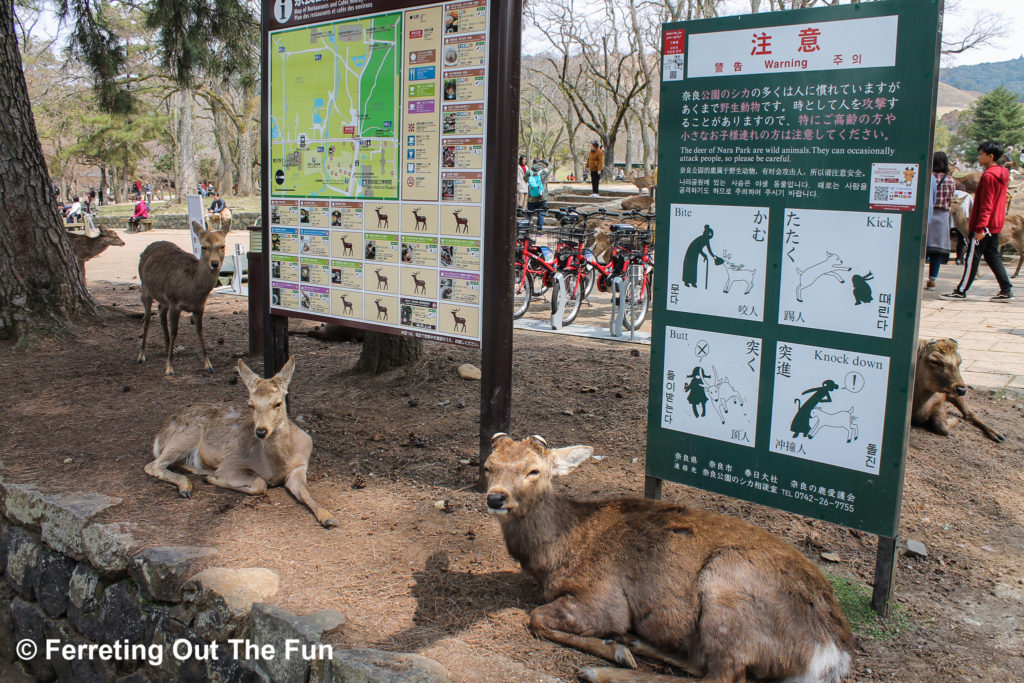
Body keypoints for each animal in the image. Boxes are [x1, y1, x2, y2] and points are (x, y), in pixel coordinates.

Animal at [137, 222, 227, 376]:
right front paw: (169, 368)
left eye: (222, 245)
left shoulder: (200, 307)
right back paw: (142, 355)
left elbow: (200, 330)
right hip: (145, 289)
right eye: (203, 247)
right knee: (147, 319)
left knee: (161, 311)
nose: (214, 263)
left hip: (163, 299)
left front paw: (208, 364)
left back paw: (170, 349)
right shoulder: (174, 302)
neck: (193, 291)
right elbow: (174, 332)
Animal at [144, 358, 337, 528]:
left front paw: (329, 518)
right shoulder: (232, 463)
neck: (277, 464)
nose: (261, 431)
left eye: (278, 403)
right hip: (186, 436)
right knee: (153, 465)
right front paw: (215, 479)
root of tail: (160, 434)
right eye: (251, 405)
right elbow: (260, 484)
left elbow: (307, 493)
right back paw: (188, 486)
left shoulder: (300, 466)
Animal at [483, 436, 851, 683]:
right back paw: (633, 643)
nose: (496, 498)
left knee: (721, 675)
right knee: (701, 661)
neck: (554, 554)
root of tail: (831, 653)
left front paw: (613, 649)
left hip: (727, 590)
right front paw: (619, 646)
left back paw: (599, 669)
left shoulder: (602, 599)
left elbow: (536, 618)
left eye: (534, 470)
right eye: (488, 466)